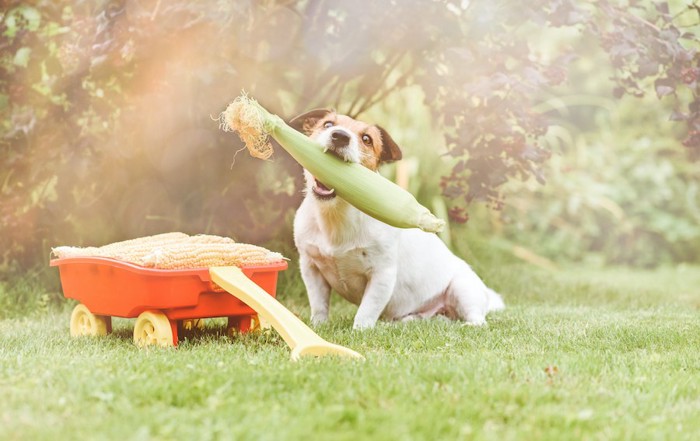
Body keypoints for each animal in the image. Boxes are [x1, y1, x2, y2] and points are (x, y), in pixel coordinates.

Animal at [288, 108, 504, 328]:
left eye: (367, 139)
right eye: (328, 125)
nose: (340, 136)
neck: (336, 214)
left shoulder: (382, 274)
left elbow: (366, 311)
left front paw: (359, 330)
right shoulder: (311, 267)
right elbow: (319, 305)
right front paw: (317, 326)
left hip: (463, 288)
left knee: (477, 319)